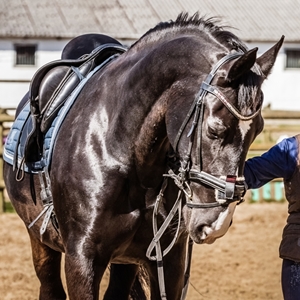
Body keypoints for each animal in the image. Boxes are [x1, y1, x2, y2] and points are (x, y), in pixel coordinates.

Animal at [3, 12, 282, 300]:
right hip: (40, 240)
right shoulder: (81, 259)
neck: (124, 151)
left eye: (258, 130)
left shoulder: (168, 259)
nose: (217, 224)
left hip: (126, 260)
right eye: (215, 129)